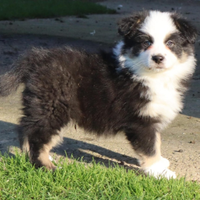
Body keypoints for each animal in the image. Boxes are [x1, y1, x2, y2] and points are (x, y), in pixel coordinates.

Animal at [0, 10, 197, 180]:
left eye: (170, 43)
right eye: (145, 42)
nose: (158, 58)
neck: (151, 75)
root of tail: (37, 57)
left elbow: (157, 142)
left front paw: (161, 164)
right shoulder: (141, 121)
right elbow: (150, 147)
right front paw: (159, 172)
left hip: (41, 104)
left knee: (26, 127)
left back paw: (32, 157)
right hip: (54, 106)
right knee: (37, 134)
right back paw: (46, 166)